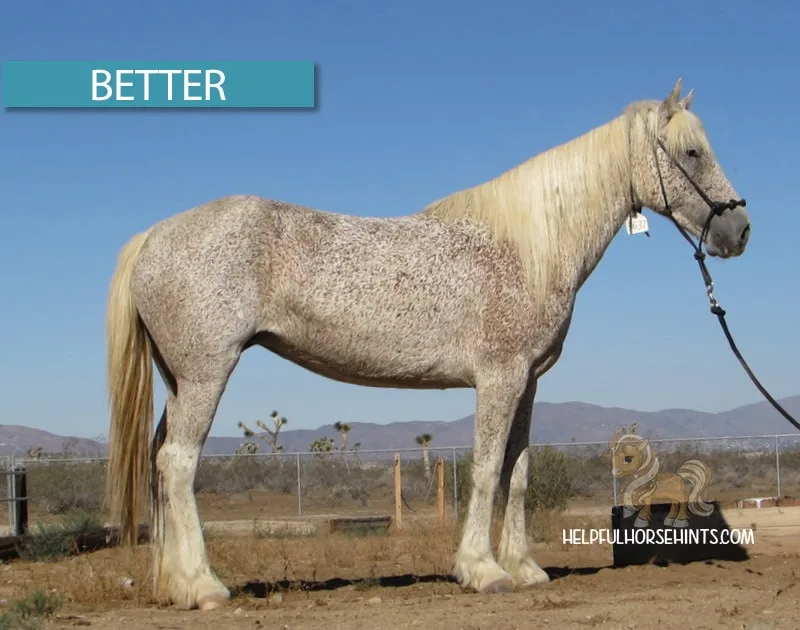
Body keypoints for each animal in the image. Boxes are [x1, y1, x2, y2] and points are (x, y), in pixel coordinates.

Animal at [104, 79, 752, 612]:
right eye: (692, 153)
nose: (739, 230)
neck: (528, 247)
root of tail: (153, 236)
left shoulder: (527, 381)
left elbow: (517, 472)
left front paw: (524, 568)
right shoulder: (499, 377)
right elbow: (487, 469)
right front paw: (483, 571)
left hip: (178, 379)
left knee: (161, 461)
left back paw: (172, 584)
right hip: (207, 373)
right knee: (177, 463)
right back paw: (203, 586)